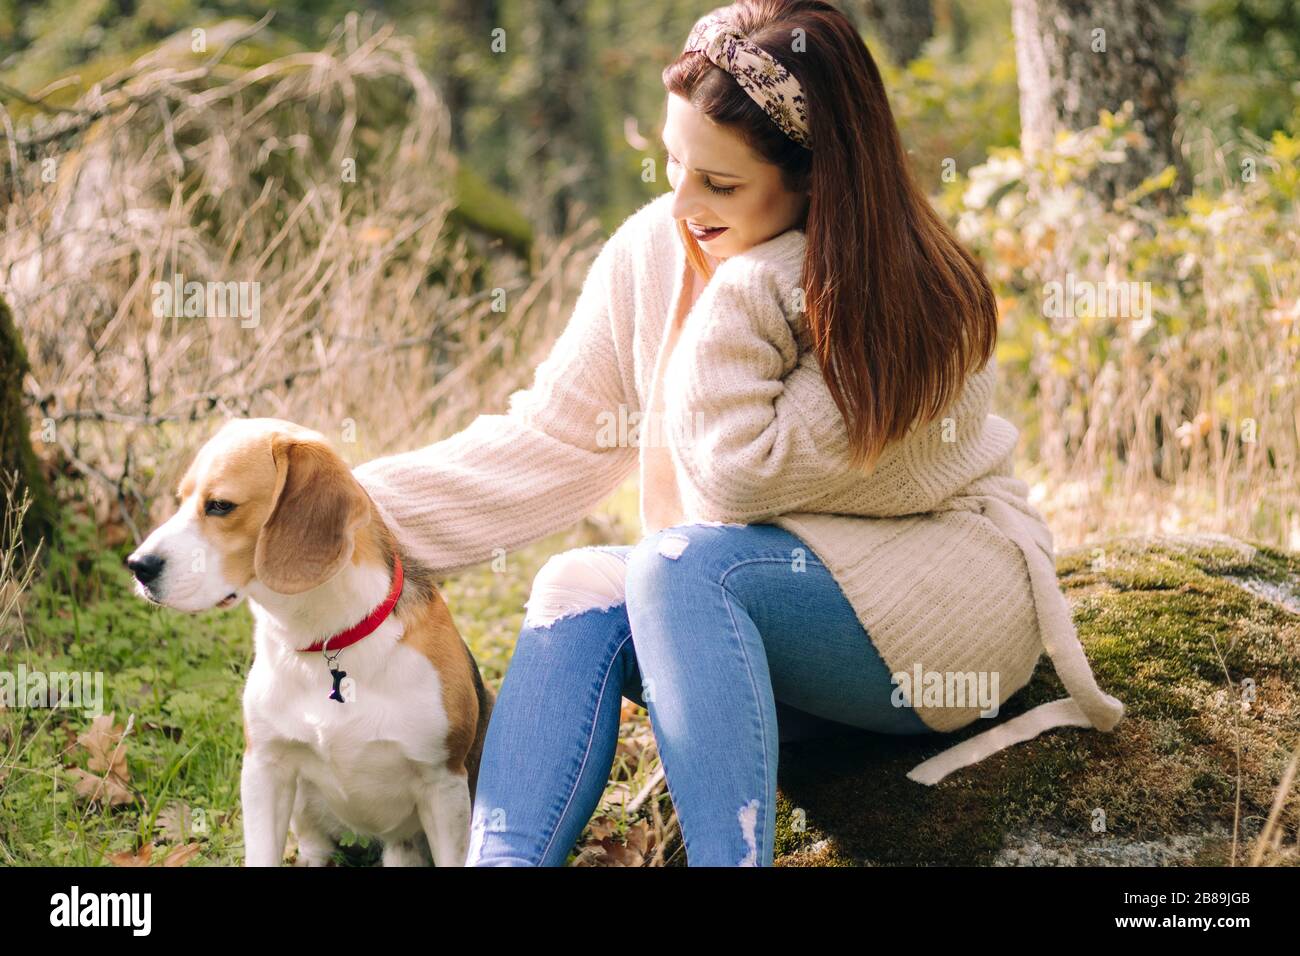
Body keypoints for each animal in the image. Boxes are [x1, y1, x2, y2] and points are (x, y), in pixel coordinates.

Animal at [125, 418, 491, 868]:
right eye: (180, 500)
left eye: (220, 505)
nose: (137, 566)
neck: (323, 641)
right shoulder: (265, 768)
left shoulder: (443, 783)